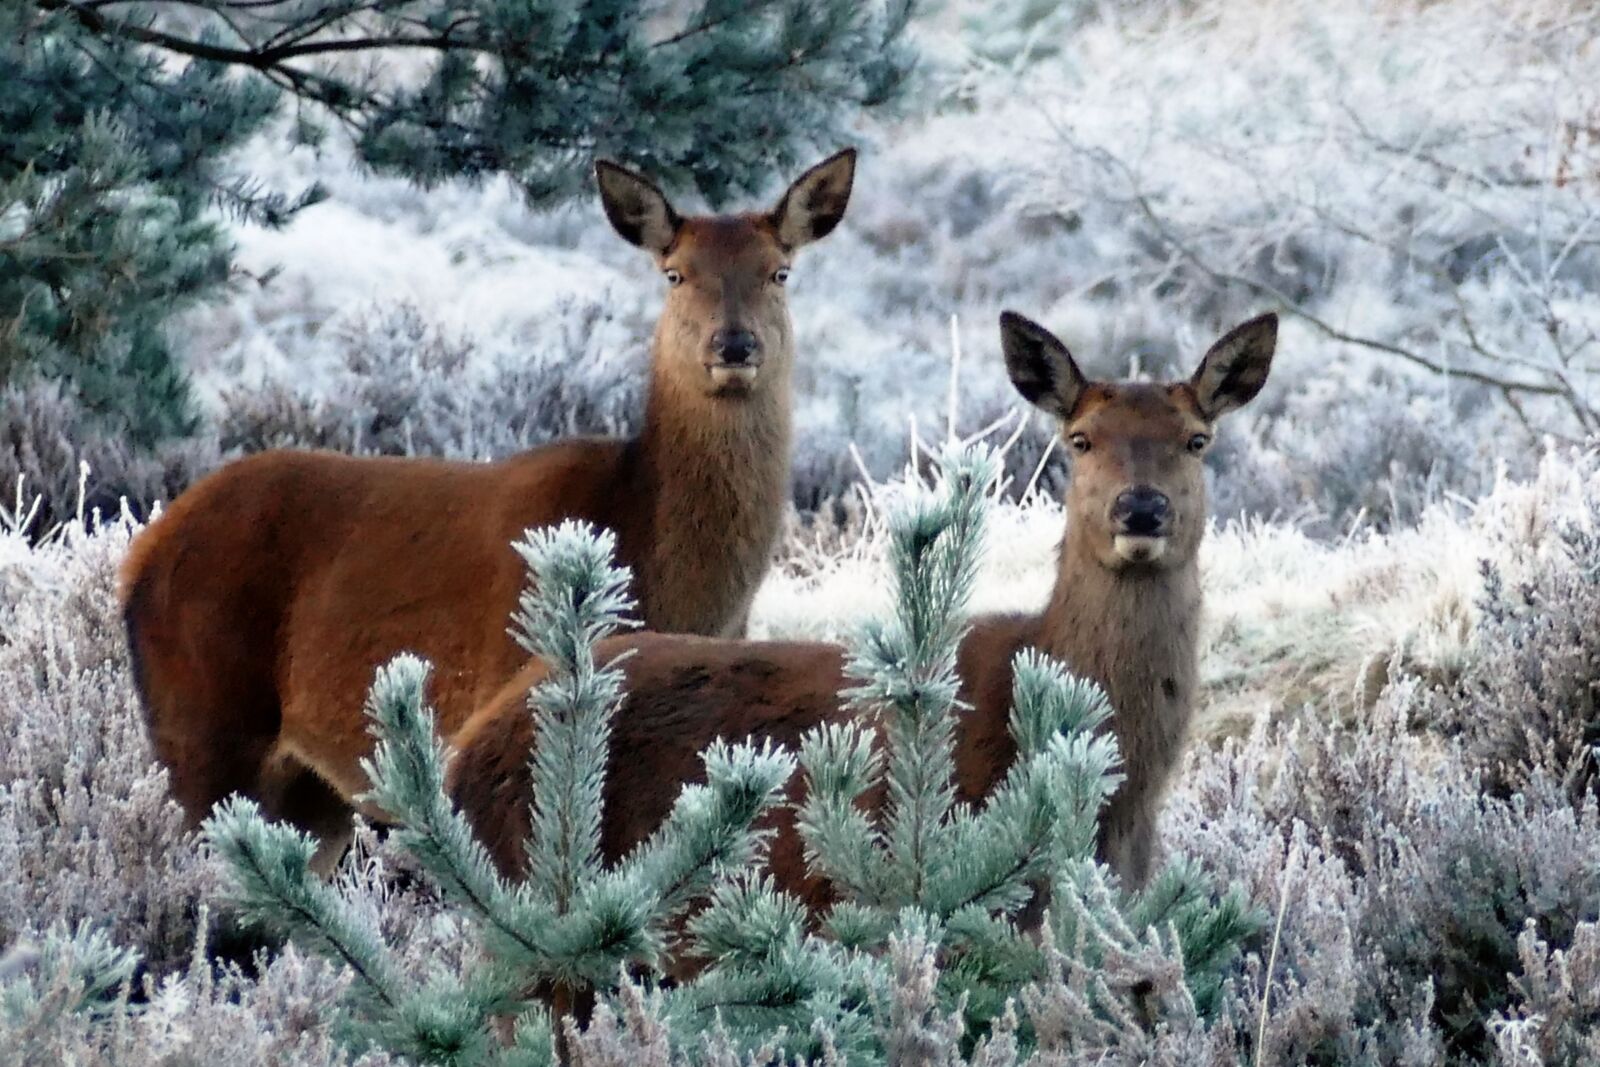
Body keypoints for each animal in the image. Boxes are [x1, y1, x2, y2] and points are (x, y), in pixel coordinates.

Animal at [120, 149, 858, 864]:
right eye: (675, 274)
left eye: (779, 272)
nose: (733, 345)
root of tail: (139, 556)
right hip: (203, 723)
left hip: (310, 792)